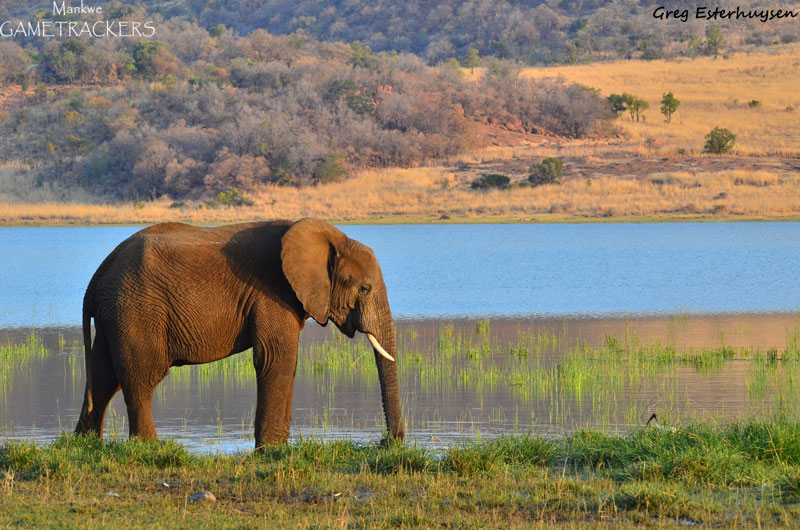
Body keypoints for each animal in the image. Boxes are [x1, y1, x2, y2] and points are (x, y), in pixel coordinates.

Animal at [74, 218, 404, 447]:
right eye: (365, 288)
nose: (387, 442)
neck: (332, 237)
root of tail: (96, 277)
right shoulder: (272, 293)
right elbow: (276, 359)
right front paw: (270, 451)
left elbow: (286, 364)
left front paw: (277, 448)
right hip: (136, 310)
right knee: (143, 376)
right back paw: (151, 448)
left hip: (115, 314)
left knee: (104, 377)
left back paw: (85, 445)